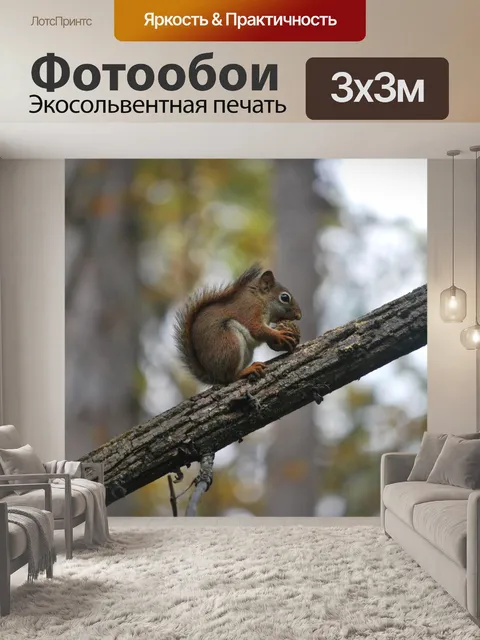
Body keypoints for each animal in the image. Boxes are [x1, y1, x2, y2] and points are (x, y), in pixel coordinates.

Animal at [174, 264, 302, 386]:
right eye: (284, 297)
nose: (299, 316)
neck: (260, 298)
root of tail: (214, 375)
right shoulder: (250, 310)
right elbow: (257, 329)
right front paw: (280, 335)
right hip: (229, 343)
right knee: (230, 377)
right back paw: (247, 370)